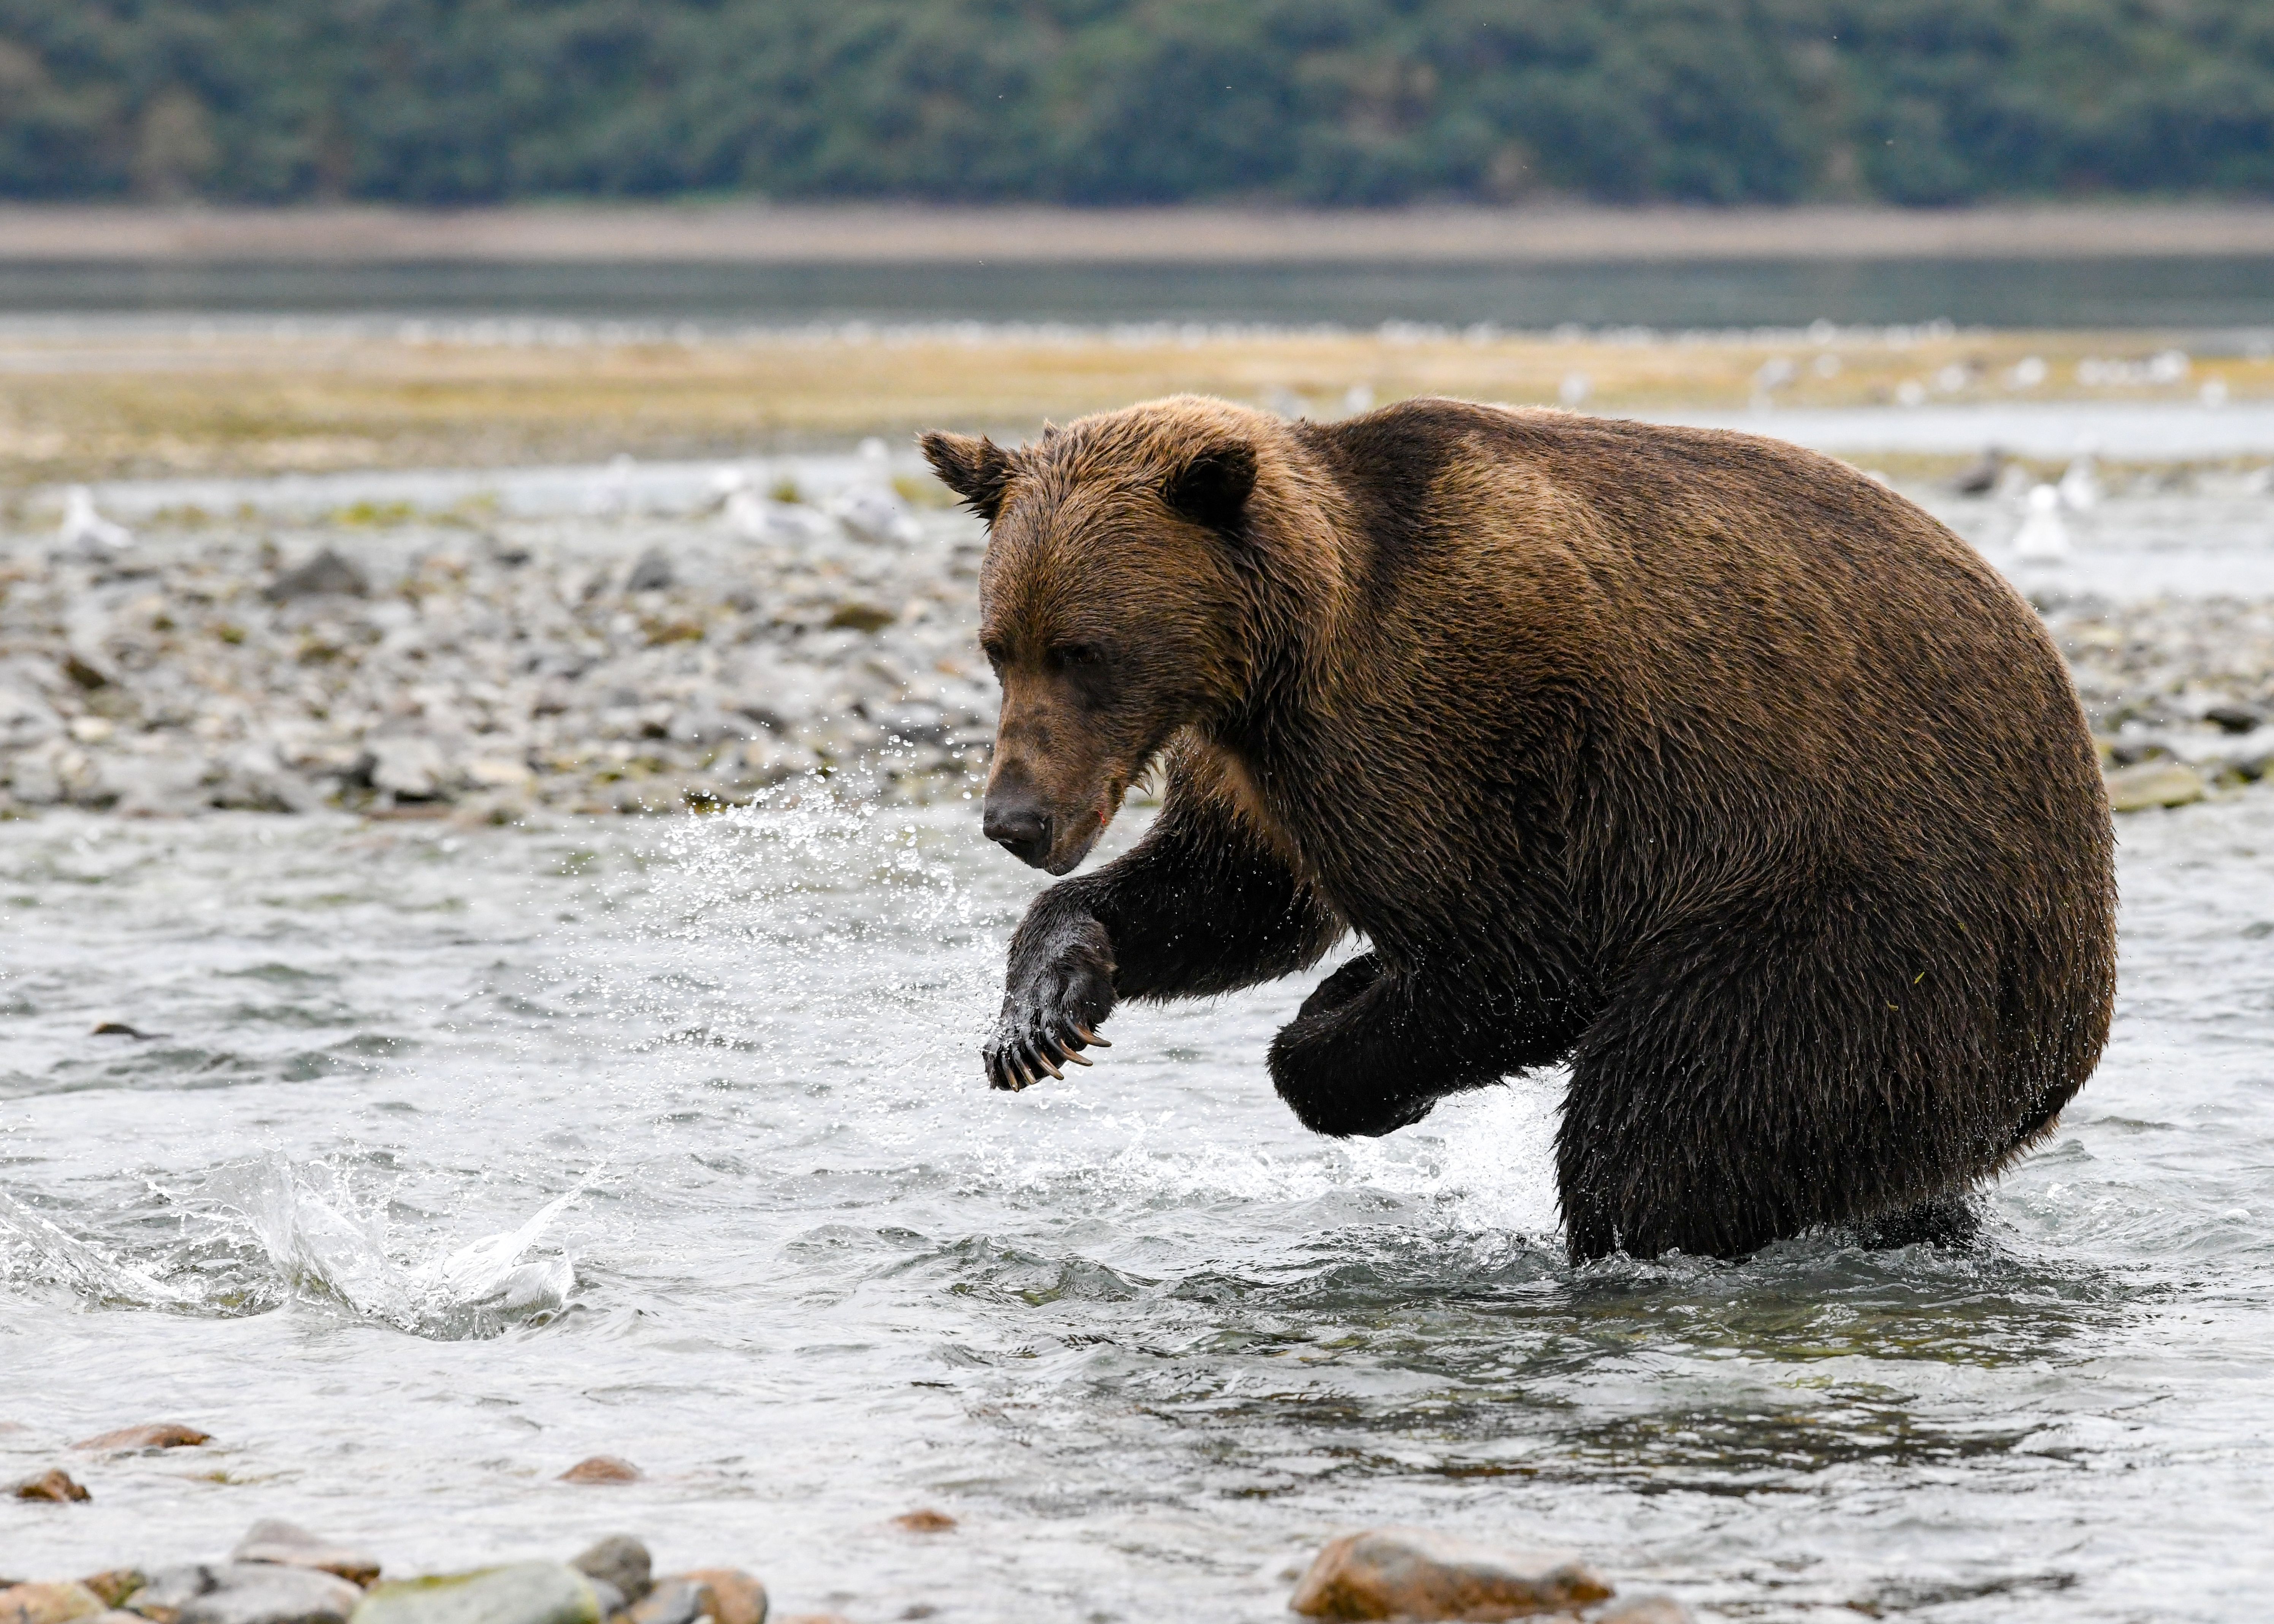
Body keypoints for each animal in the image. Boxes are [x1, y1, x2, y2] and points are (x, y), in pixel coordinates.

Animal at [919, 394, 2116, 1263]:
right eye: (998, 644)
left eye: (1084, 650)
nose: (1015, 817)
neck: (1277, 653)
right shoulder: (1257, 761)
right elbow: (1229, 894)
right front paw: (1041, 1014)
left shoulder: (1458, 717)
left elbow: (1521, 951)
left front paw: (1337, 1040)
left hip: (1855, 933)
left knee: (1662, 1132)